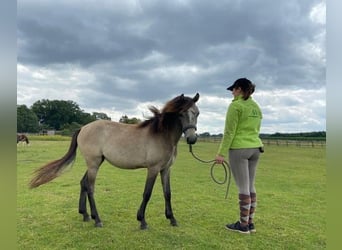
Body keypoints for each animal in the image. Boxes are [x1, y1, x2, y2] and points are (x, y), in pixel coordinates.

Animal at [30, 93, 200, 229]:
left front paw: (172, 219)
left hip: (96, 163)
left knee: (83, 183)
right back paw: (97, 220)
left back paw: (85, 215)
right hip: (93, 164)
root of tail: (83, 128)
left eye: (197, 113)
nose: (192, 139)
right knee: (90, 187)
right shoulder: (153, 168)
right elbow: (147, 193)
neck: (161, 134)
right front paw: (142, 221)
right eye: (181, 114)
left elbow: (168, 193)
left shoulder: (166, 169)